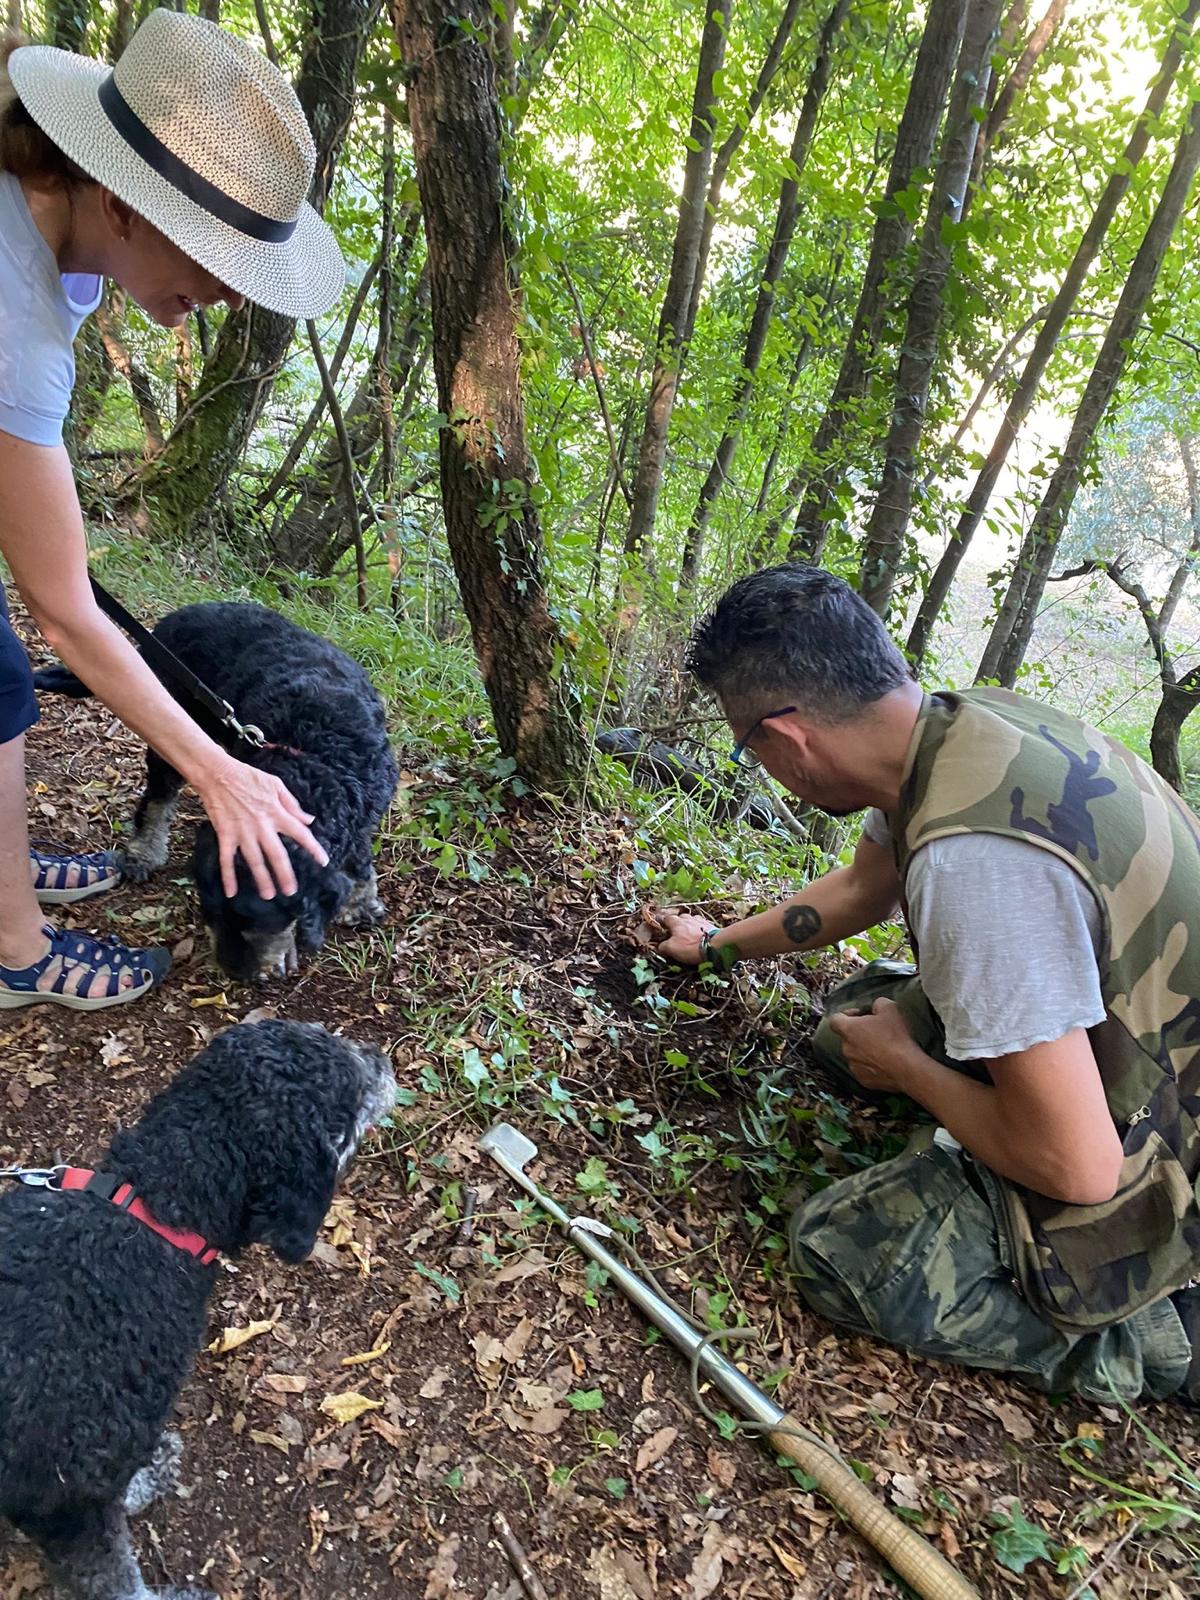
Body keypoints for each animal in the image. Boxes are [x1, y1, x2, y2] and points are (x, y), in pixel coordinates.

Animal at [0, 1017, 396, 1593]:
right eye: (351, 1089)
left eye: (323, 1034)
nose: (382, 1057)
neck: (151, 1215)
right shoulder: (67, 1499)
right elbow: (118, 1583)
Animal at [32, 598, 396, 979]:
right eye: (211, 911)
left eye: (258, 922)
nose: (234, 972)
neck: (314, 753)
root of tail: (170, 621)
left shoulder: (365, 810)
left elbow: (359, 861)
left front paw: (361, 902)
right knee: (157, 801)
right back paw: (143, 852)